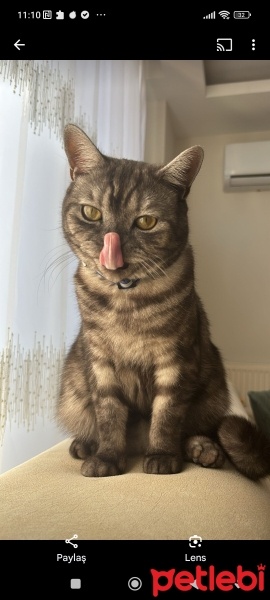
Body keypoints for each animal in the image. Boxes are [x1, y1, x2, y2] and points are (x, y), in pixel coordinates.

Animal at [57, 124, 270, 480]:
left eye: (146, 222)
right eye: (91, 213)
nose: (110, 249)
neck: (125, 299)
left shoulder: (175, 360)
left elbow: (166, 416)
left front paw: (162, 457)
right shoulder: (100, 362)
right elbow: (108, 414)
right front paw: (106, 458)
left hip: (214, 390)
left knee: (202, 429)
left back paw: (203, 449)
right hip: (72, 394)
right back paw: (84, 445)